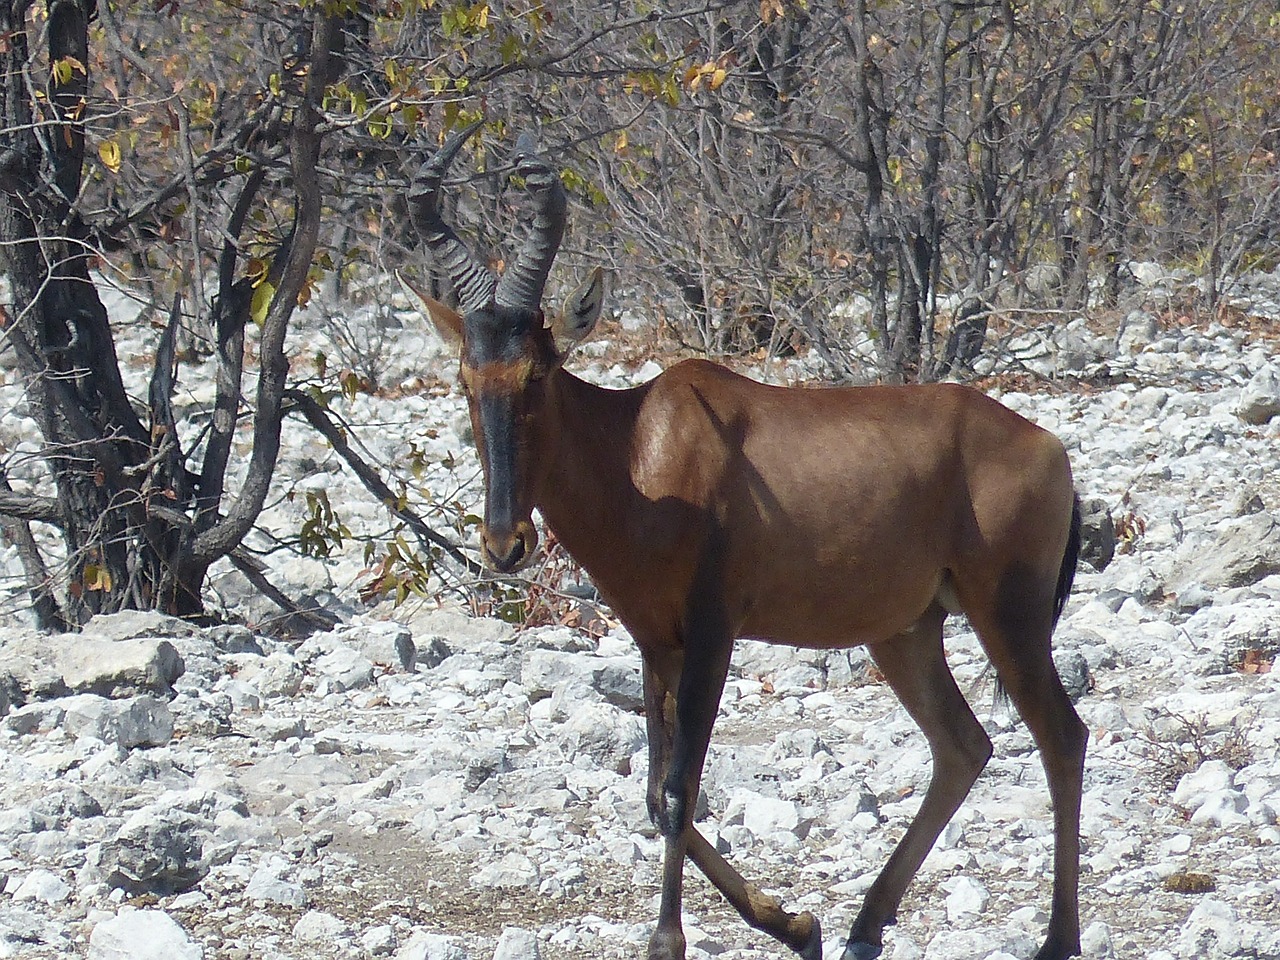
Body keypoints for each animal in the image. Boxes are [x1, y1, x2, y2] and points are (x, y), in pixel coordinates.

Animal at [396, 124, 1080, 960]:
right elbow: (654, 792)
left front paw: (670, 941)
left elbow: (680, 786)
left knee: (1061, 736)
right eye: (467, 376)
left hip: (1007, 615)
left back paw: (1055, 940)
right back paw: (861, 928)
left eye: (538, 371)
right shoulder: (656, 643)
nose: (504, 544)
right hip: (906, 631)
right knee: (964, 745)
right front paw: (797, 924)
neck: (640, 446)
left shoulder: (714, 631)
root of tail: (1047, 446)